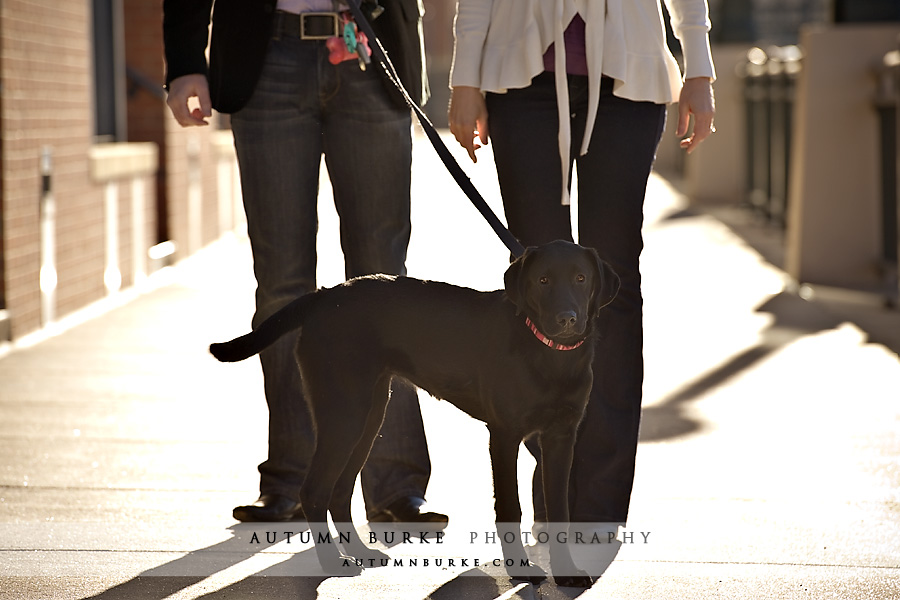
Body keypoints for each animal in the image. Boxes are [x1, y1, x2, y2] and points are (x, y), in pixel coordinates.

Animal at [211, 240, 620, 584]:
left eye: (581, 278)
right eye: (543, 280)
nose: (567, 319)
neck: (550, 356)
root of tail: (324, 295)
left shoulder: (561, 437)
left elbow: (559, 510)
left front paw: (566, 573)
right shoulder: (504, 436)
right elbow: (510, 506)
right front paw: (520, 570)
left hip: (369, 415)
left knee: (340, 489)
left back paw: (359, 552)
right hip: (343, 413)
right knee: (314, 489)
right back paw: (333, 563)